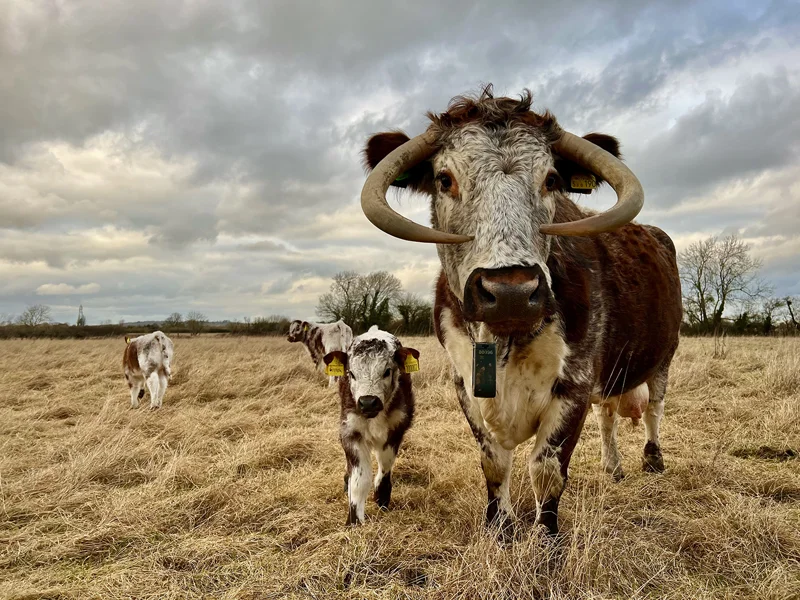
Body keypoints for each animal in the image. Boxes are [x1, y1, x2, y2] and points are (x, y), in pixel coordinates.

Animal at [323, 325, 419, 525]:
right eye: (351, 373)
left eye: (387, 371)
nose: (368, 403)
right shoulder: (350, 432)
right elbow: (360, 479)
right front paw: (354, 521)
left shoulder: (397, 429)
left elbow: (385, 464)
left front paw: (382, 497)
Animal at [360, 86, 682, 536]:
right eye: (445, 179)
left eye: (551, 179)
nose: (510, 292)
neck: (505, 339)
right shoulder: (465, 385)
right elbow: (494, 463)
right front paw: (500, 526)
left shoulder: (575, 385)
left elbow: (546, 469)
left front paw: (546, 537)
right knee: (609, 416)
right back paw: (612, 467)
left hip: (664, 356)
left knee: (654, 407)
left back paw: (652, 460)